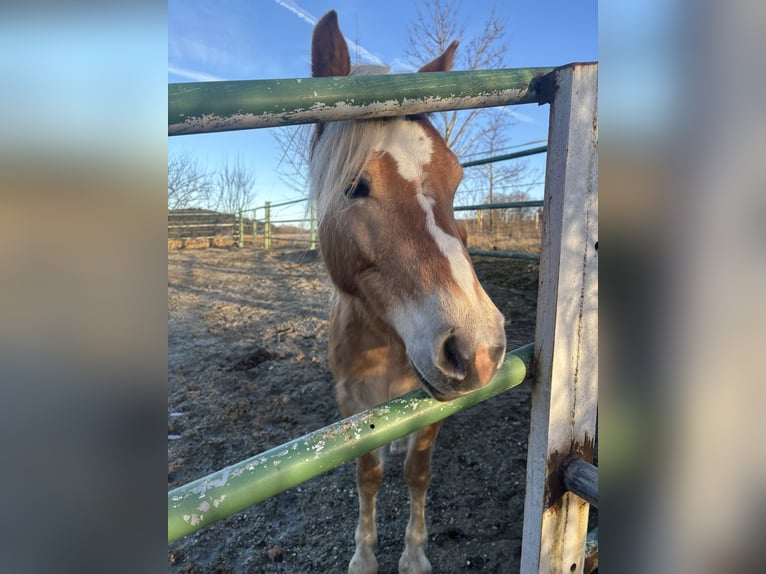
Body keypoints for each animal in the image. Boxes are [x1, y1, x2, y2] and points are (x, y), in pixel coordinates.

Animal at [308, 10, 508, 574]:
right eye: (354, 185)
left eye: (457, 177)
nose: (478, 349)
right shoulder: (350, 405)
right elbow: (367, 476)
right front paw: (363, 555)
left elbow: (418, 472)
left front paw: (415, 554)